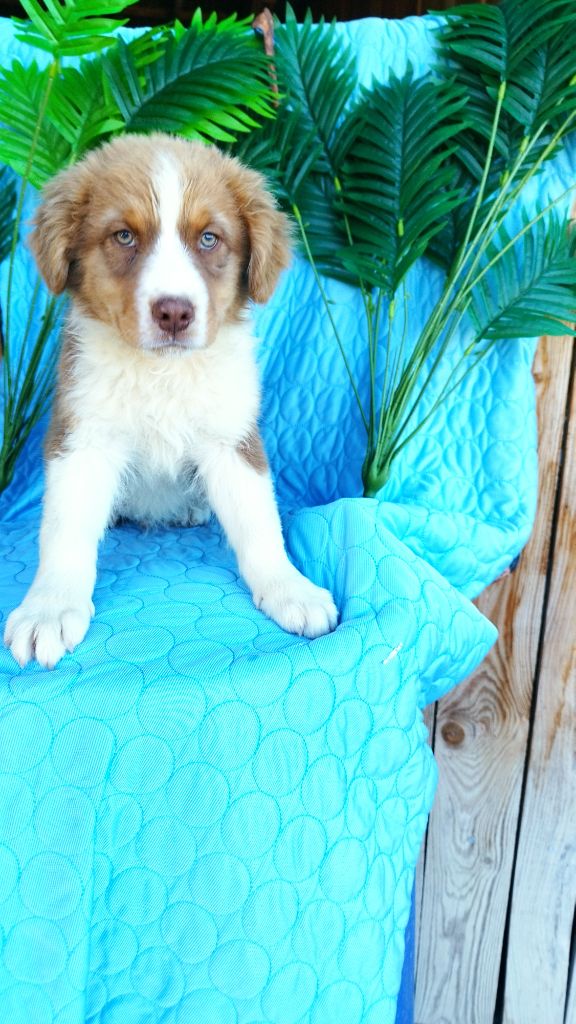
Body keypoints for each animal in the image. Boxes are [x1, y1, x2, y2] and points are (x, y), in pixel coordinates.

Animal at [4, 133, 337, 668]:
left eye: (209, 239)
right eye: (123, 236)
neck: (162, 371)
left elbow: (260, 523)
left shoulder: (231, 439)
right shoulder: (83, 438)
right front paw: (49, 608)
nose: (175, 313)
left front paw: (290, 589)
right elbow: (64, 531)